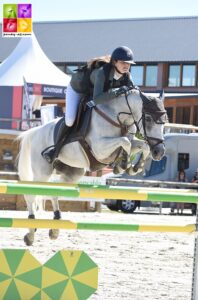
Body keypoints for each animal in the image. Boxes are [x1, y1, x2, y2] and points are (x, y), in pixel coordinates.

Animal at [17, 88, 167, 244]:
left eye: (165, 120)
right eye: (148, 118)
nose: (159, 152)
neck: (118, 117)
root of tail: (36, 131)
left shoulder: (126, 144)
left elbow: (141, 145)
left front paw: (134, 167)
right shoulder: (100, 148)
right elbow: (125, 141)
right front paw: (124, 164)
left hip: (74, 172)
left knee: (54, 191)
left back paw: (55, 227)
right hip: (42, 172)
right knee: (31, 193)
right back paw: (30, 232)